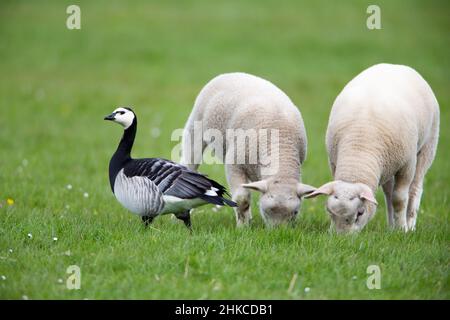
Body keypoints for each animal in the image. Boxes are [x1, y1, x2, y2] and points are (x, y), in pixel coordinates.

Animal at [181, 72, 314, 228]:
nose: (280, 232)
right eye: (266, 210)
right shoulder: (234, 164)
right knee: (189, 162)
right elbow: (242, 199)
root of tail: (232, 73)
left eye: (295, 213)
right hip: (196, 126)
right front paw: (242, 227)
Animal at [306, 63, 440, 232]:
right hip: (389, 163)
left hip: (428, 145)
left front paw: (402, 229)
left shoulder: (407, 165)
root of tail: (395, 65)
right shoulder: (333, 162)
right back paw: (391, 227)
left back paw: (410, 226)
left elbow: (400, 199)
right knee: (388, 192)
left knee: (415, 188)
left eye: (360, 213)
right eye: (329, 211)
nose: (340, 237)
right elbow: (392, 197)